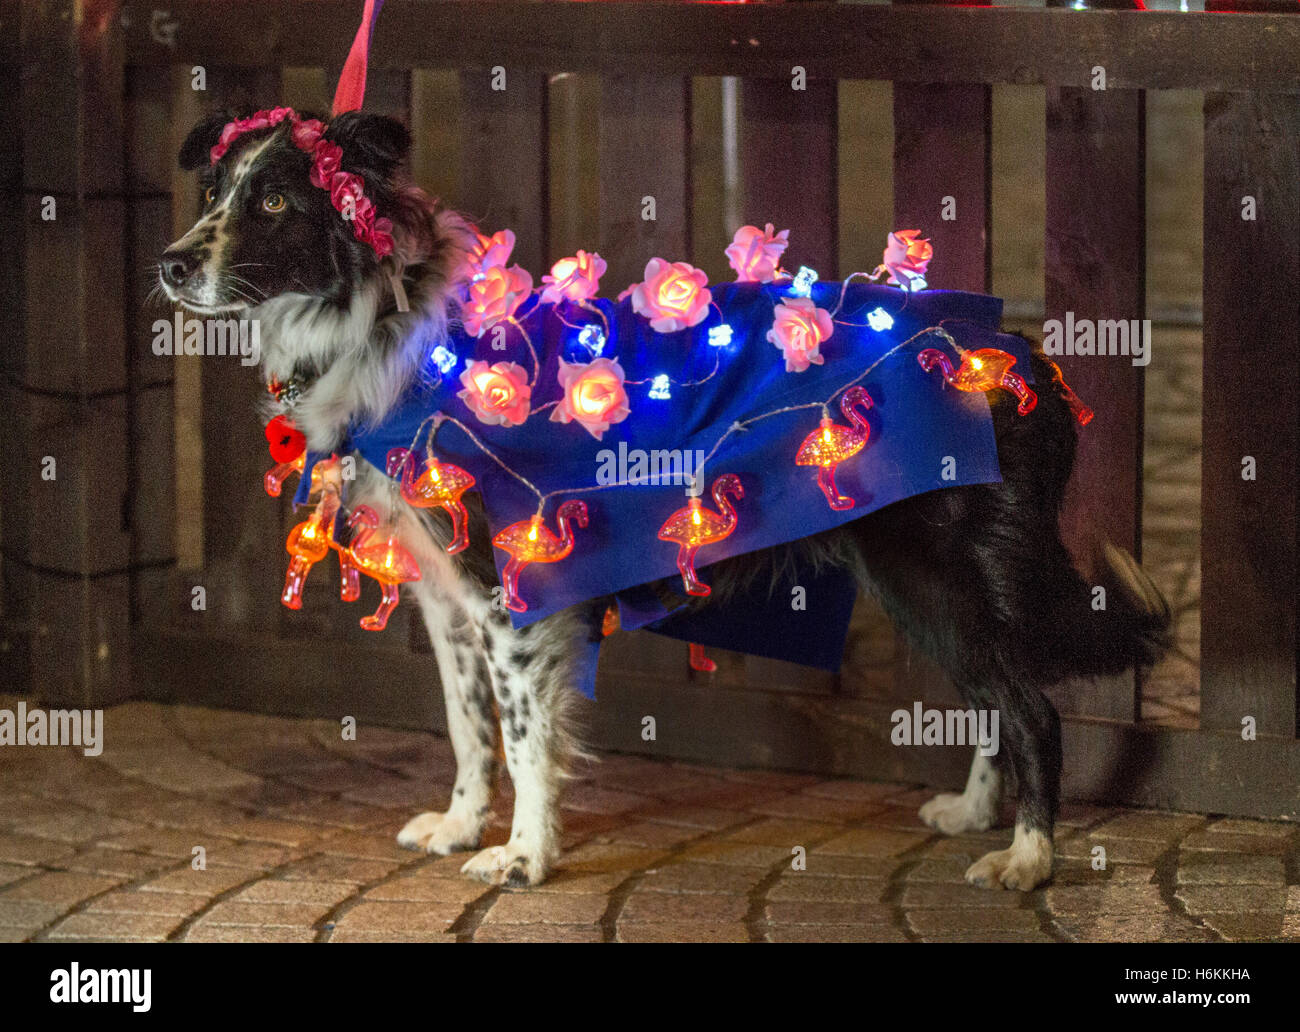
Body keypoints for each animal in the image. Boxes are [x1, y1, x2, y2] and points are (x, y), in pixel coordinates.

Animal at [159, 108, 1170, 889]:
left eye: (275, 201)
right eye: (213, 193)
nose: (168, 264)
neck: (383, 322)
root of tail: (1017, 351)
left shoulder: (514, 600)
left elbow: (524, 737)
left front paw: (524, 859)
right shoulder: (445, 601)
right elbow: (467, 727)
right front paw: (459, 825)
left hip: (941, 577)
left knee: (1033, 710)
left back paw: (1030, 860)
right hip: (925, 591)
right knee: (997, 702)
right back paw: (971, 814)